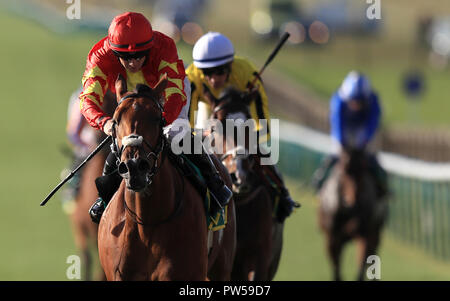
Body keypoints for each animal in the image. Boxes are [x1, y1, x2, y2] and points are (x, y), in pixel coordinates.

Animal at [318, 148, 388, 278]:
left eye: (362, 169)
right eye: (343, 170)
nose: (351, 201)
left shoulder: (364, 236)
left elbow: (361, 268)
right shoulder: (332, 237)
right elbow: (336, 270)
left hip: (376, 233)